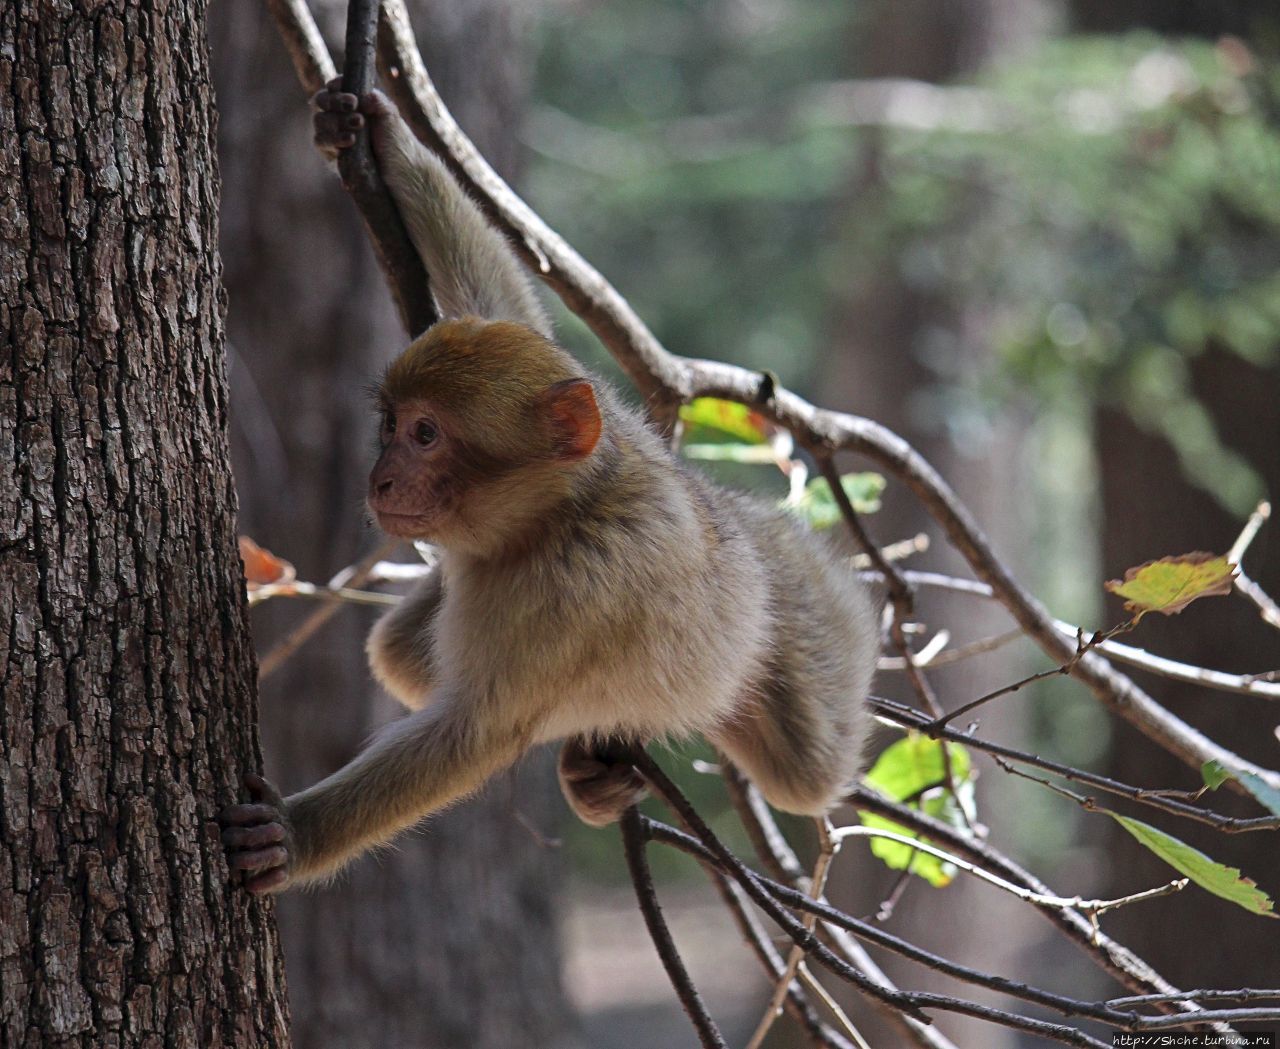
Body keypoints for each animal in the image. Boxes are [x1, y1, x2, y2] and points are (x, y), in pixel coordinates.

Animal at [220, 86, 880, 895]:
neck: (555, 515)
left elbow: (474, 733)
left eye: (426, 435)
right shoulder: (594, 409)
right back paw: (593, 769)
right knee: (401, 648)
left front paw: (293, 835)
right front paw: (387, 136)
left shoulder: (575, 590)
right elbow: (508, 308)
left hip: (802, 602)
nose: (379, 478)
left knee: (808, 769)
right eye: (392, 424)